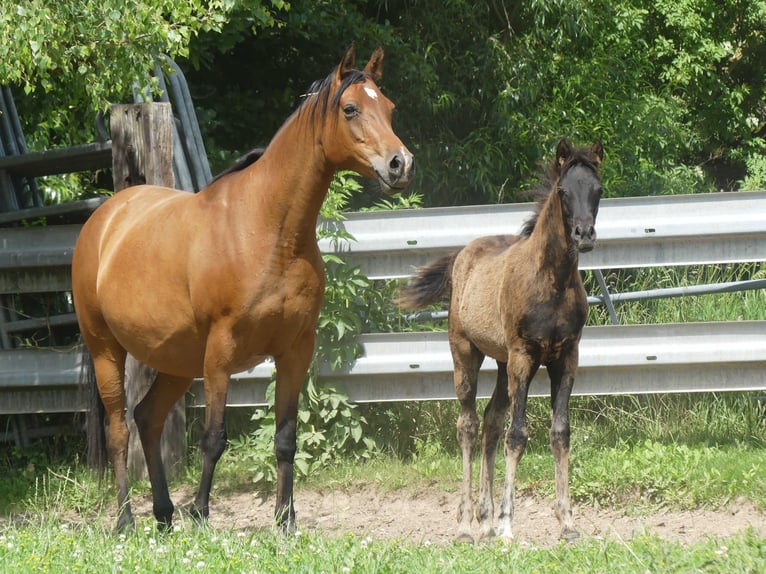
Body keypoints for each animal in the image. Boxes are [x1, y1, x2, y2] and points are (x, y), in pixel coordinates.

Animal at [72, 45, 414, 534]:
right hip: (108, 350)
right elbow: (214, 438)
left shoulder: (296, 350)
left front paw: (285, 521)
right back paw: (125, 522)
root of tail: (104, 221)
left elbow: (286, 438)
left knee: (147, 418)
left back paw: (164, 516)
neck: (267, 230)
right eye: (350, 109)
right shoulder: (221, 351)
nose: (400, 164)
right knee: (119, 430)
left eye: (388, 107)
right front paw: (201, 514)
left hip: (177, 361)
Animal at [395, 140, 603, 543]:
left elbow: (560, 433)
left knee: (491, 421)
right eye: (563, 191)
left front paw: (567, 523)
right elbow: (518, 435)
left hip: (504, 362)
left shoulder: (566, 358)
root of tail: (461, 256)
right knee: (468, 425)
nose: (584, 235)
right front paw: (508, 524)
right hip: (466, 352)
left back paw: (485, 519)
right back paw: (465, 525)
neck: (552, 281)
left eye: (598, 190)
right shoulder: (524, 356)